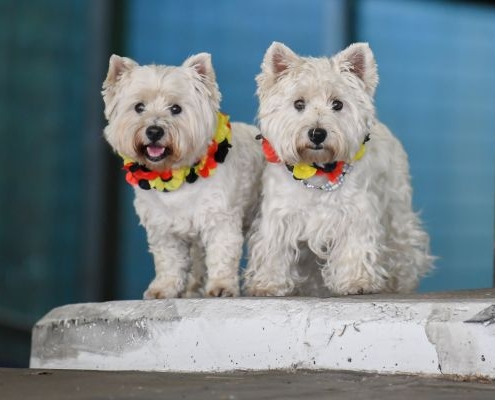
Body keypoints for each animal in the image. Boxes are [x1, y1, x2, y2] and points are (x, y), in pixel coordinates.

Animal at [103, 52, 266, 296]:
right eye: (139, 107)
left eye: (176, 109)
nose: (154, 131)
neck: (176, 176)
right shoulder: (163, 228)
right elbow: (169, 261)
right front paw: (163, 288)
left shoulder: (220, 220)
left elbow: (221, 255)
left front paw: (221, 286)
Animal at [245, 42, 434, 296]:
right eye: (298, 104)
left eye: (337, 104)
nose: (317, 133)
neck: (318, 171)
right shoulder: (279, 215)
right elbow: (273, 249)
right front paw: (268, 284)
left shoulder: (356, 213)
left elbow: (355, 246)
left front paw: (357, 281)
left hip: (397, 210)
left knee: (403, 250)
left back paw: (398, 283)